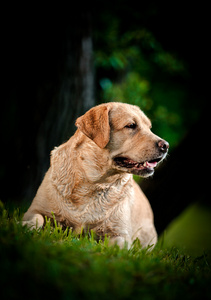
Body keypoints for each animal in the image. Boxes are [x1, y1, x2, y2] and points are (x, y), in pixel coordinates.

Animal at [22, 103, 169, 248]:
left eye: (149, 128)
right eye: (131, 125)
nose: (166, 145)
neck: (92, 183)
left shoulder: (120, 234)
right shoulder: (35, 209)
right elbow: (37, 218)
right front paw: (26, 227)